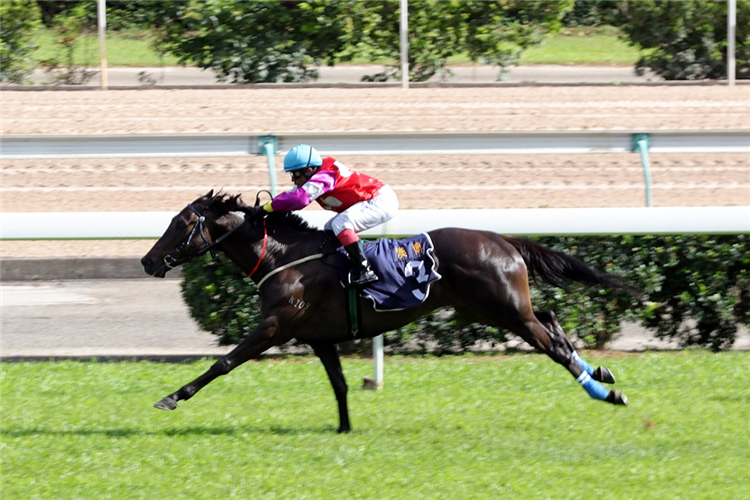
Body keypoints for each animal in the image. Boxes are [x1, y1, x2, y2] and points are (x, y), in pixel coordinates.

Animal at [140, 189, 636, 432]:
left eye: (180, 224)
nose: (147, 261)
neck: (286, 255)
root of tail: (502, 239)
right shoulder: (318, 336)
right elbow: (339, 385)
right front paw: (343, 428)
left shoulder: (278, 324)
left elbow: (224, 362)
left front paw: (172, 396)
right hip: (490, 308)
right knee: (550, 323)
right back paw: (601, 372)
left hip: (503, 309)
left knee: (550, 345)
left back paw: (604, 391)